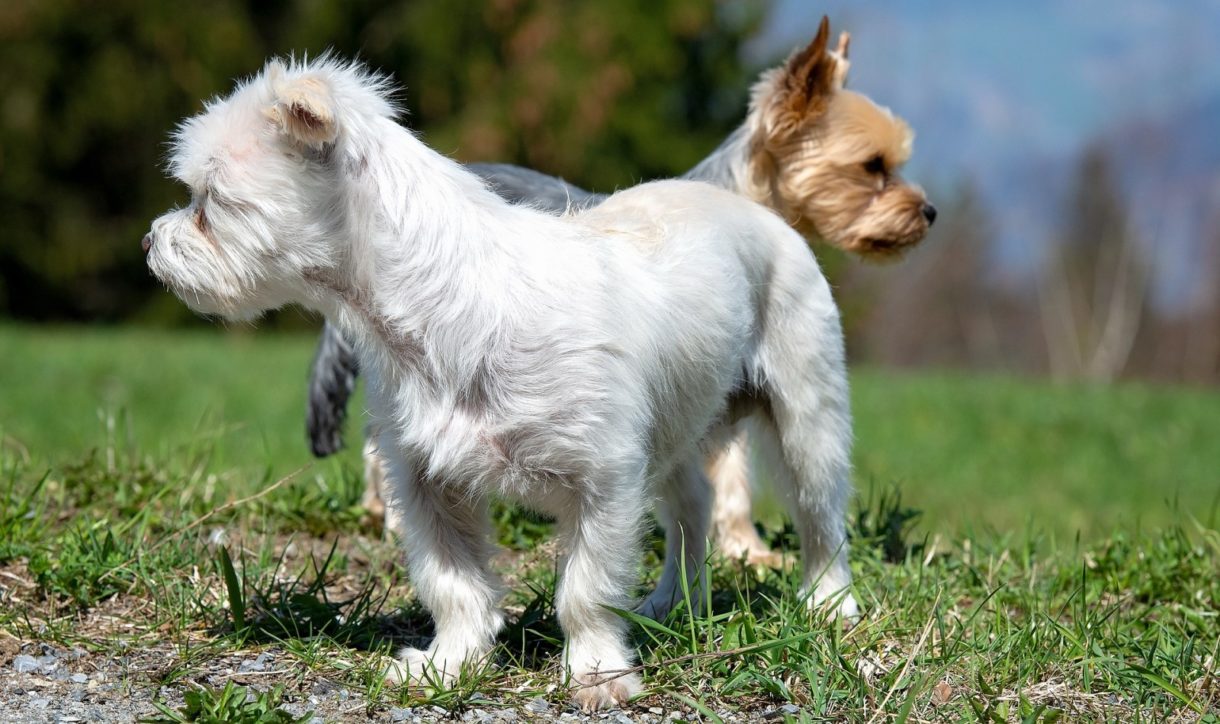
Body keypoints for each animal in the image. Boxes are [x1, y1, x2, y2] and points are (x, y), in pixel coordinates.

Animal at [147, 57, 854, 713]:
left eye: (209, 200)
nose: (152, 241)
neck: (441, 311)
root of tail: (752, 209)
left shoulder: (603, 480)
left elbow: (586, 590)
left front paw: (596, 673)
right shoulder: (426, 481)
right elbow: (453, 585)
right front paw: (449, 665)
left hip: (806, 419)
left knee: (821, 519)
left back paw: (829, 604)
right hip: (672, 431)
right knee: (693, 508)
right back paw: (672, 602)